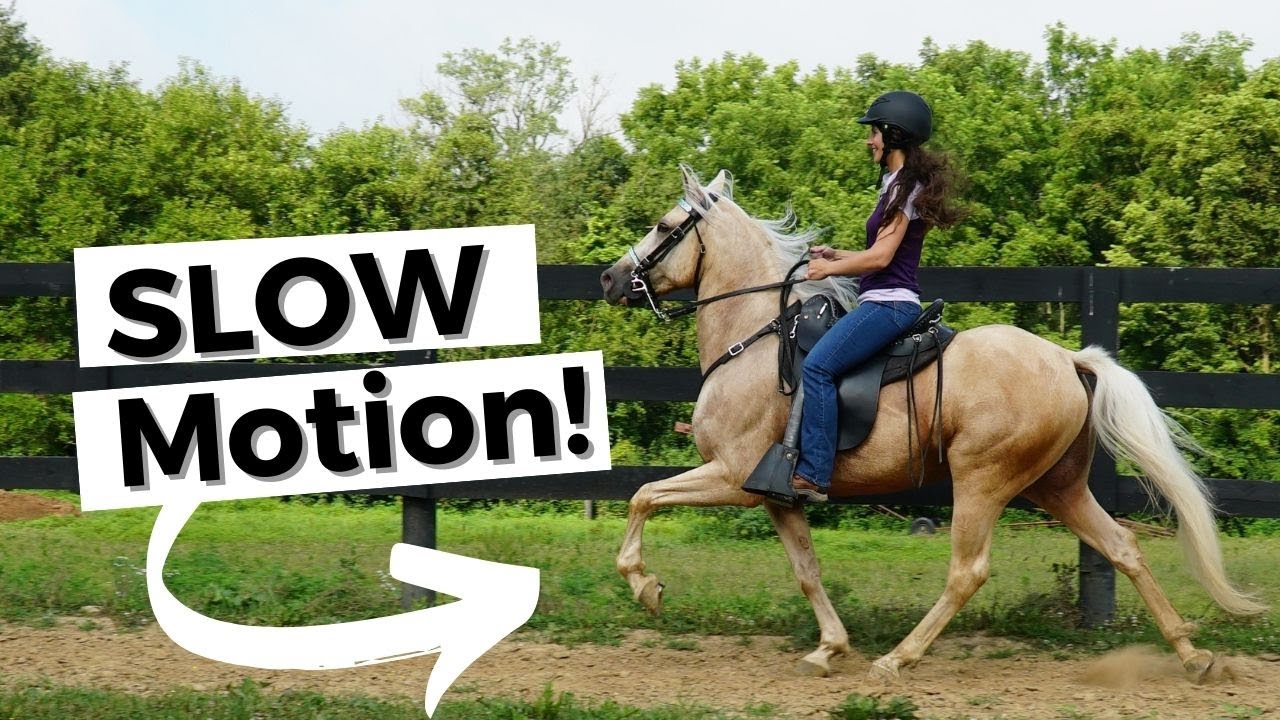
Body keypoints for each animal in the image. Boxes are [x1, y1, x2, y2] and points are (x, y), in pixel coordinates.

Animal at [598, 165, 1265, 682]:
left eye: (664, 225)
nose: (608, 278)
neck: (753, 339)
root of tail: (1066, 358)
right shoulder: (776, 496)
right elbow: (807, 570)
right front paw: (829, 648)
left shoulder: (732, 476)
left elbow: (643, 495)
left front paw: (645, 587)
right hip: (1057, 487)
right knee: (1123, 546)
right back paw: (1192, 656)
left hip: (983, 480)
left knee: (967, 572)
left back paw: (898, 659)